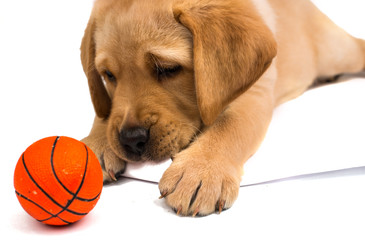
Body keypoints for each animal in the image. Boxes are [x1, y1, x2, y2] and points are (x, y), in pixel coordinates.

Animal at [80, 0, 364, 217]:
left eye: (168, 69)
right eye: (108, 75)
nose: (131, 139)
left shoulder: (254, 94)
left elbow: (229, 126)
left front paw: (201, 171)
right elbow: (104, 110)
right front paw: (96, 143)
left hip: (338, 51)